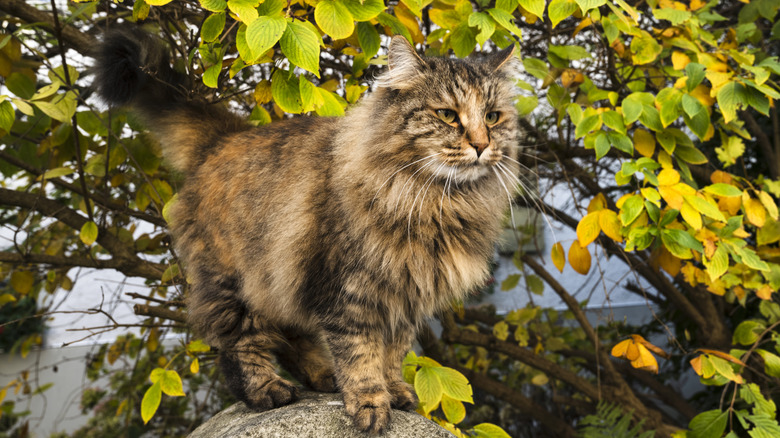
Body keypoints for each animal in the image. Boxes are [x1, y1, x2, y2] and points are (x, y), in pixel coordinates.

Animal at [94, 28, 520, 434]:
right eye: (447, 115)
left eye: (493, 117)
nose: (481, 145)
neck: (437, 202)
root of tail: (227, 135)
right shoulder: (348, 294)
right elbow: (361, 355)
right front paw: (370, 404)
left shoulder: (405, 296)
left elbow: (393, 354)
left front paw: (394, 391)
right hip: (234, 282)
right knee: (238, 343)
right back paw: (267, 391)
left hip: (279, 277)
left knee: (290, 336)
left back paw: (322, 376)